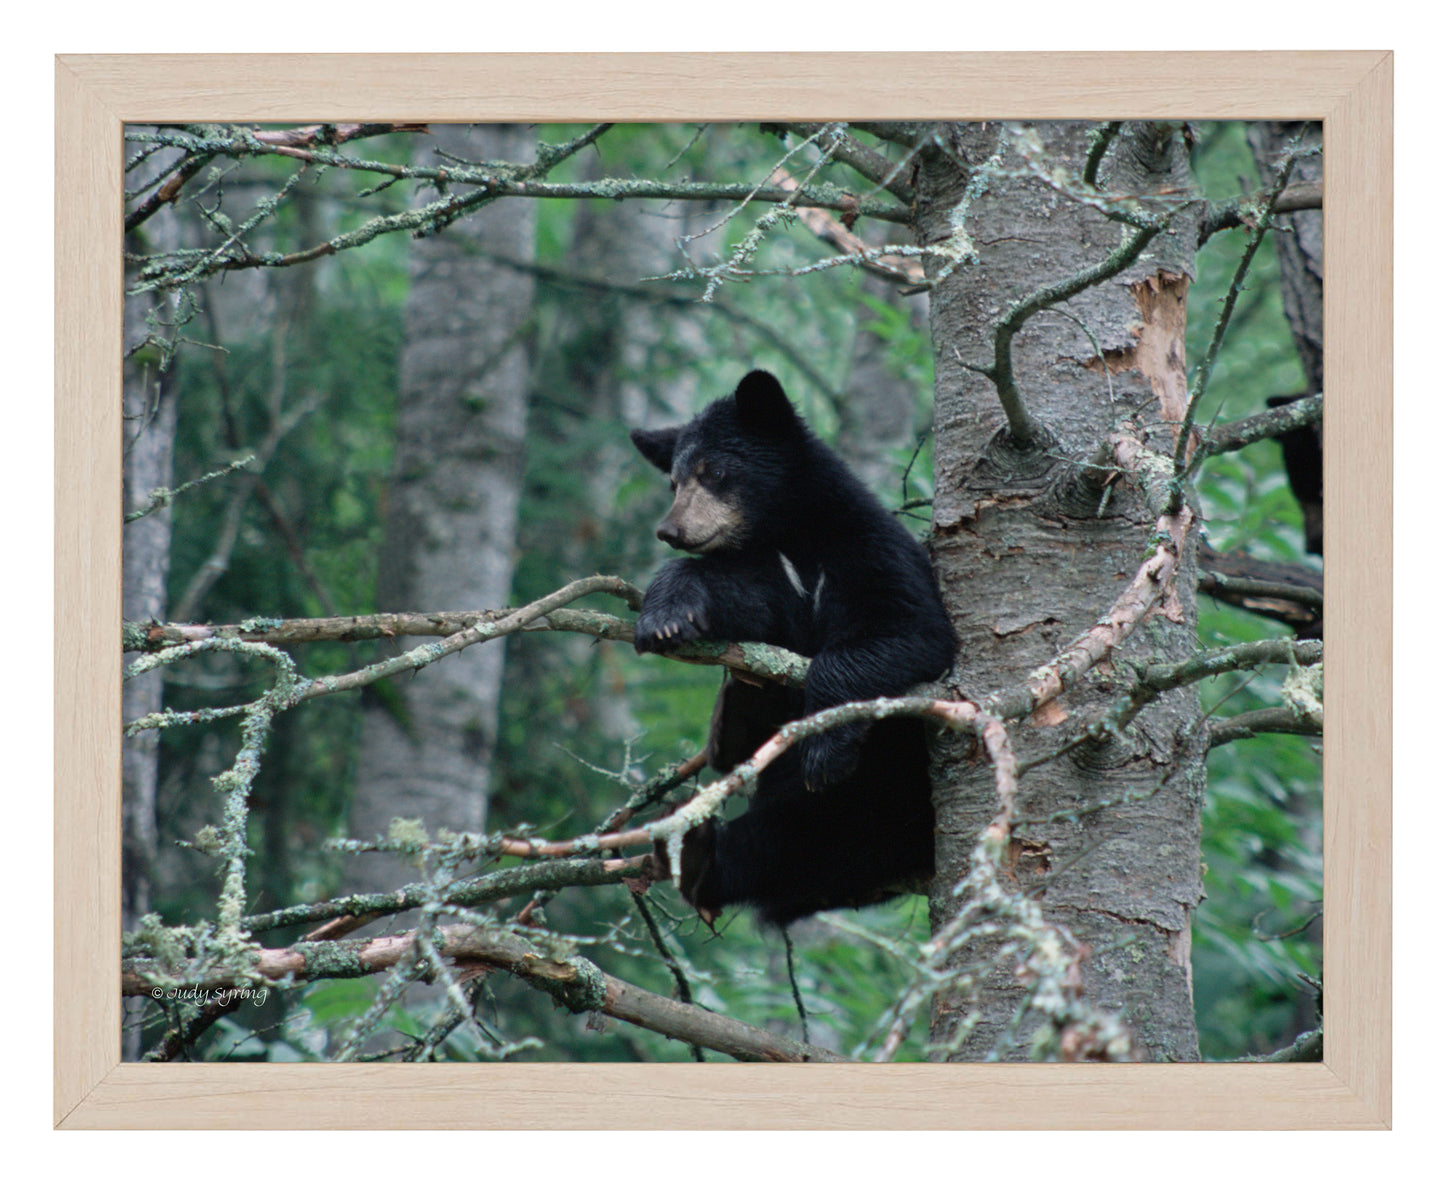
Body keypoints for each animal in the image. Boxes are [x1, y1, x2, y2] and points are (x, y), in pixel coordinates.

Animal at [630, 369, 957, 927]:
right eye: (673, 481)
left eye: (714, 471)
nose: (670, 530)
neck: (790, 531)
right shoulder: (772, 573)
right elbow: (743, 599)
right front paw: (668, 616)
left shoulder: (865, 548)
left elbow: (909, 630)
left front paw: (825, 746)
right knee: (782, 844)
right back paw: (696, 849)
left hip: (886, 786)